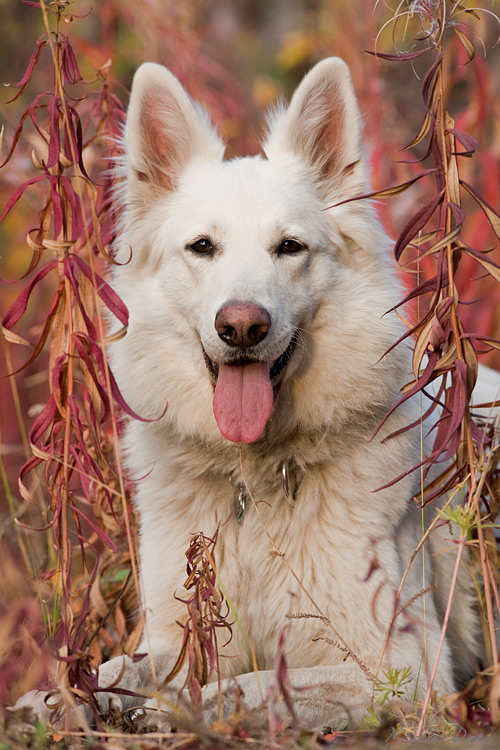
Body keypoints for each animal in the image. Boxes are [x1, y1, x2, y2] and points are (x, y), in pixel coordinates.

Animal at [16, 60, 492, 736]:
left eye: (290, 247)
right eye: (203, 247)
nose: (241, 326)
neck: (254, 485)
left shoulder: (403, 674)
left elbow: (252, 686)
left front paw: (177, 710)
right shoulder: (178, 633)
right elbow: (119, 667)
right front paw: (60, 697)